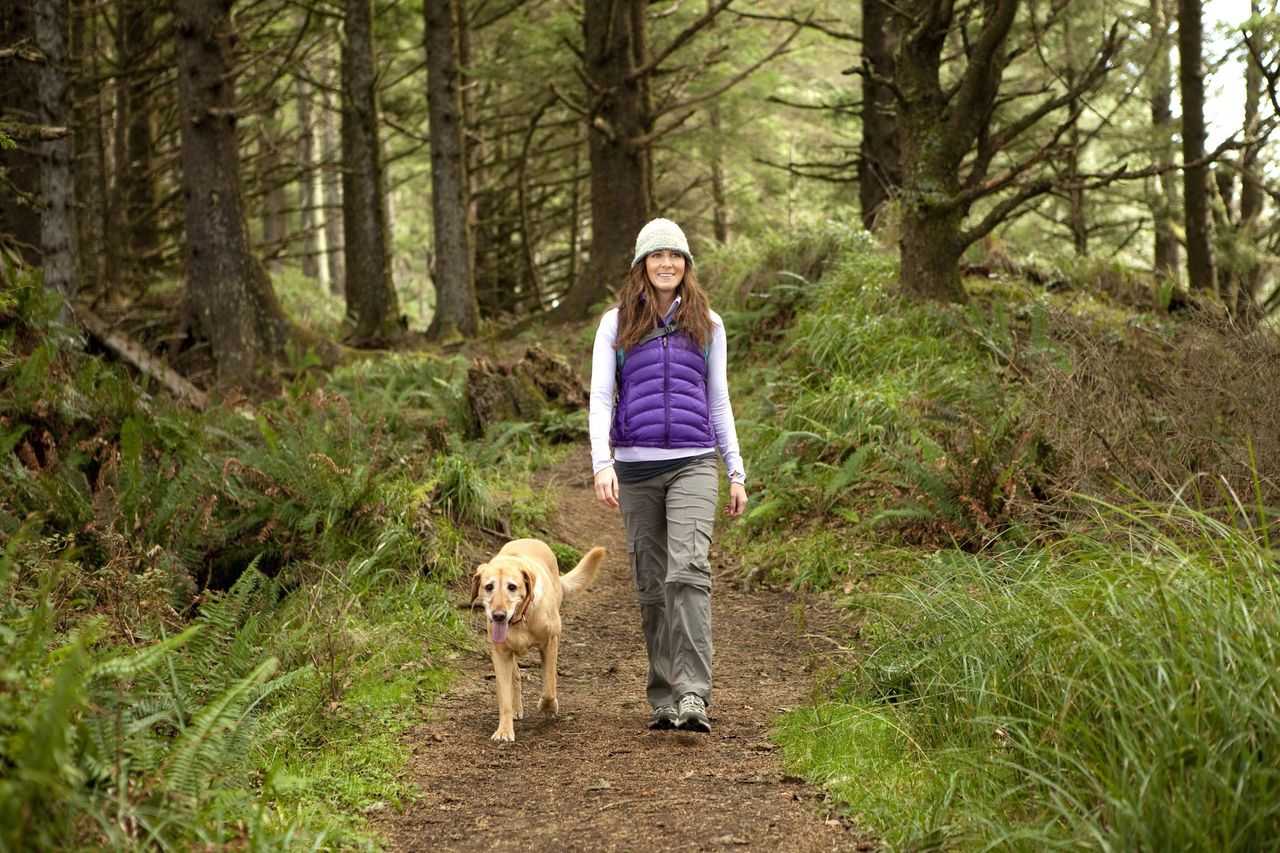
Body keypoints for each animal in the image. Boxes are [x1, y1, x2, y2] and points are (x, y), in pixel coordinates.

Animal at [473, 540, 606, 742]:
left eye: (512, 587)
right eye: (489, 587)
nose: (498, 615)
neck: (521, 619)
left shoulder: (550, 643)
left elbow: (549, 686)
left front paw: (548, 708)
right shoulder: (500, 654)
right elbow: (504, 698)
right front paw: (504, 730)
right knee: (516, 675)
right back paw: (516, 707)